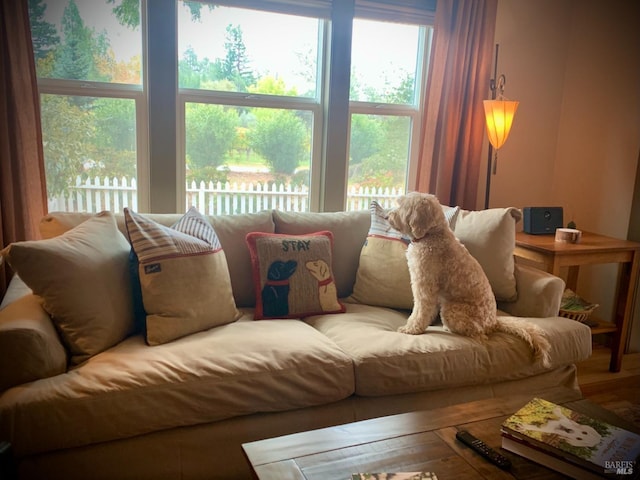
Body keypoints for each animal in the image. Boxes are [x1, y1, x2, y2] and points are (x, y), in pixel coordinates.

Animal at [388, 192, 552, 368]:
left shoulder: (425, 287)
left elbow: (419, 311)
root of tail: (494, 322)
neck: (432, 235)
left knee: (478, 334)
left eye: (402, 206)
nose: (387, 216)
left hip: (450, 310)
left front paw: (412, 329)